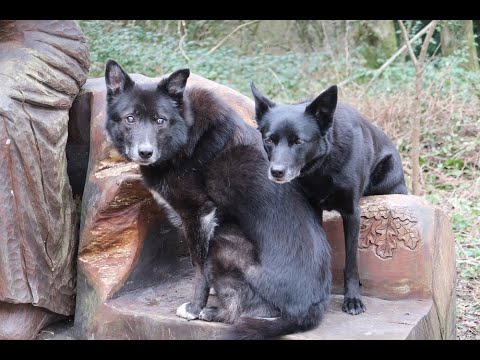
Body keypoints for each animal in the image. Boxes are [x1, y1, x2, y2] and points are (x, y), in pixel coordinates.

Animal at [103, 59, 332, 340]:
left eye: (160, 120)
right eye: (130, 119)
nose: (145, 152)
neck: (186, 132)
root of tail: (307, 312)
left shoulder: (198, 214)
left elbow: (199, 268)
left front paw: (194, 307)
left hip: (223, 240)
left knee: (243, 313)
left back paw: (211, 312)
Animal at [253, 83, 406, 314]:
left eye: (299, 141)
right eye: (269, 140)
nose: (277, 172)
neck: (322, 166)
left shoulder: (352, 213)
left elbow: (351, 262)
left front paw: (352, 299)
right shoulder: (312, 209)